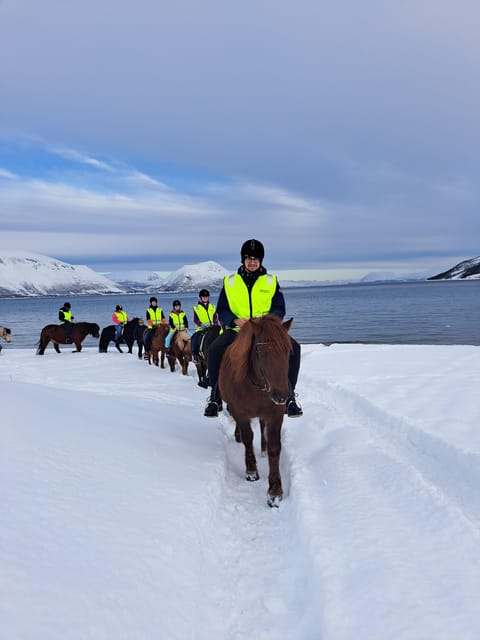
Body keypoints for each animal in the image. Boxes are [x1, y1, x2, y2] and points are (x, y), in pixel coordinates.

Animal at [218, 314, 293, 508]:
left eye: (288, 351)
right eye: (260, 351)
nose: (281, 395)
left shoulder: (275, 414)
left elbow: (275, 447)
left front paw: (275, 492)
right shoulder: (240, 413)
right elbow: (247, 439)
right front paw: (251, 472)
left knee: (261, 424)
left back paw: (263, 447)